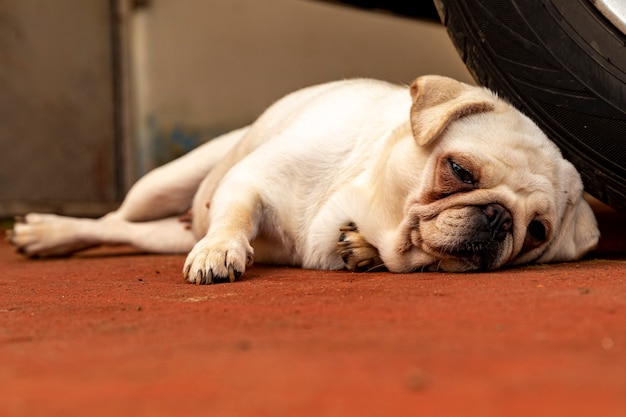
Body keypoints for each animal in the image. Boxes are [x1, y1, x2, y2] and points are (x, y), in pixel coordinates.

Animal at [7, 75, 596, 282]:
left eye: (537, 232)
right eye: (458, 170)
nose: (497, 218)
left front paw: (361, 249)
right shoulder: (249, 182)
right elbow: (236, 216)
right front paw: (221, 250)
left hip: (162, 234)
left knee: (128, 232)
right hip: (161, 184)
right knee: (111, 219)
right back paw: (48, 231)